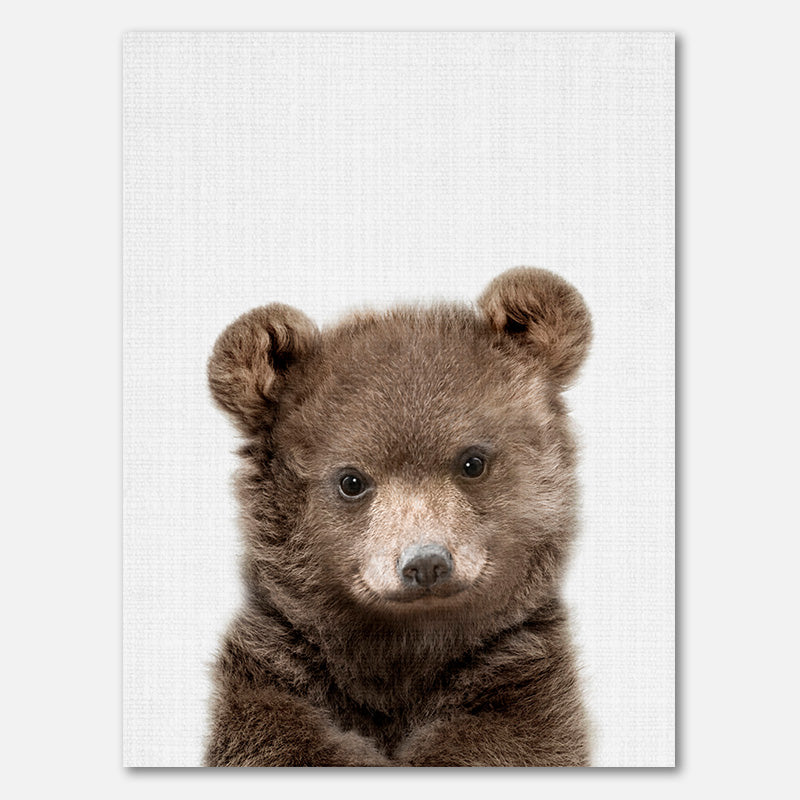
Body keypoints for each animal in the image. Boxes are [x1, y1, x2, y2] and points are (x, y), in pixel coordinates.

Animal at [204, 267, 592, 767]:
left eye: (472, 461)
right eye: (351, 480)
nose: (425, 563)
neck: (404, 652)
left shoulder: (520, 677)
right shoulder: (278, 670)